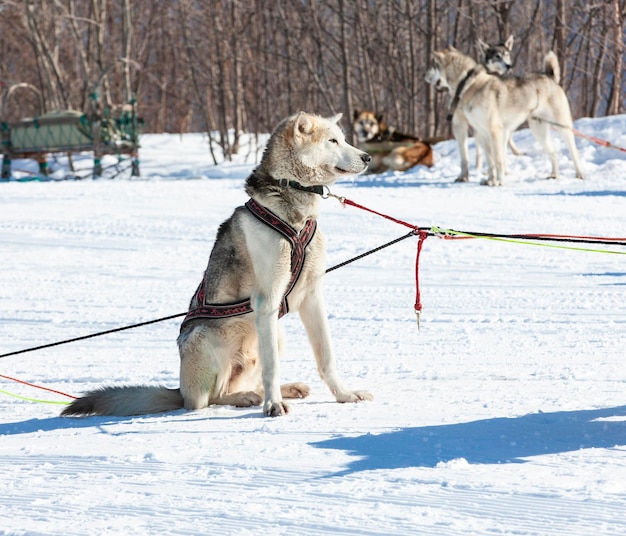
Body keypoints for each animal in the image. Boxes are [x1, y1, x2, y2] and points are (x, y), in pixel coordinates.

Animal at [64, 111, 372, 416]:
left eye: (344, 139)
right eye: (333, 141)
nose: (368, 157)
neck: (294, 212)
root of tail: (179, 391)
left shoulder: (312, 297)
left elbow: (326, 357)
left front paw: (344, 395)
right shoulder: (267, 299)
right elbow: (272, 368)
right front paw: (273, 405)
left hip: (276, 332)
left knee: (249, 382)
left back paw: (283, 389)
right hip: (207, 341)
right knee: (209, 399)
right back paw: (246, 397)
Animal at [428, 48, 580, 186]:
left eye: (434, 65)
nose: (425, 76)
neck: (468, 84)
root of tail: (549, 77)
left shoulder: (494, 132)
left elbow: (498, 160)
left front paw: (499, 181)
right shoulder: (482, 133)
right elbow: (490, 162)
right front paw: (490, 180)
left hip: (562, 127)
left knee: (573, 151)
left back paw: (580, 174)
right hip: (539, 132)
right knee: (553, 153)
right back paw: (554, 175)